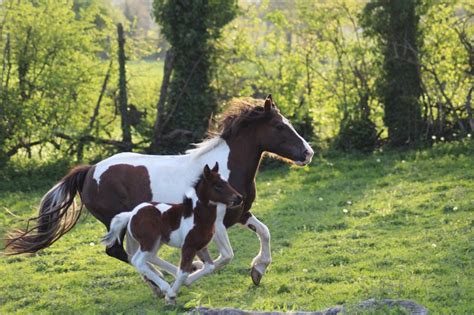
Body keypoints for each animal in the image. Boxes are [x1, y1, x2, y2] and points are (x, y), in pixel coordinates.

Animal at [5, 94, 314, 286]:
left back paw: (159, 282)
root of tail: (90, 171)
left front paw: (258, 270)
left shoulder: (240, 213)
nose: (307, 153)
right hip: (116, 219)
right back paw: (165, 280)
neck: (224, 170)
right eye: (279, 126)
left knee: (134, 254)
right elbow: (224, 257)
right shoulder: (216, 222)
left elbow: (265, 232)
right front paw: (191, 276)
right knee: (122, 253)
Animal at [100, 163, 241, 304]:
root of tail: (131, 214)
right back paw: (166, 288)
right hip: (148, 242)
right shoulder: (188, 247)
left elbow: (209, 267)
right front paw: (171, 295)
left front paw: (186, 281)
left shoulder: (200, 246)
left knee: (150, 257)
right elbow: (184, 272)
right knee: (138, 260)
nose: (239, 198)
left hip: (157, 241)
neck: (196, 216)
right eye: (217, 186)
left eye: (227, 182)